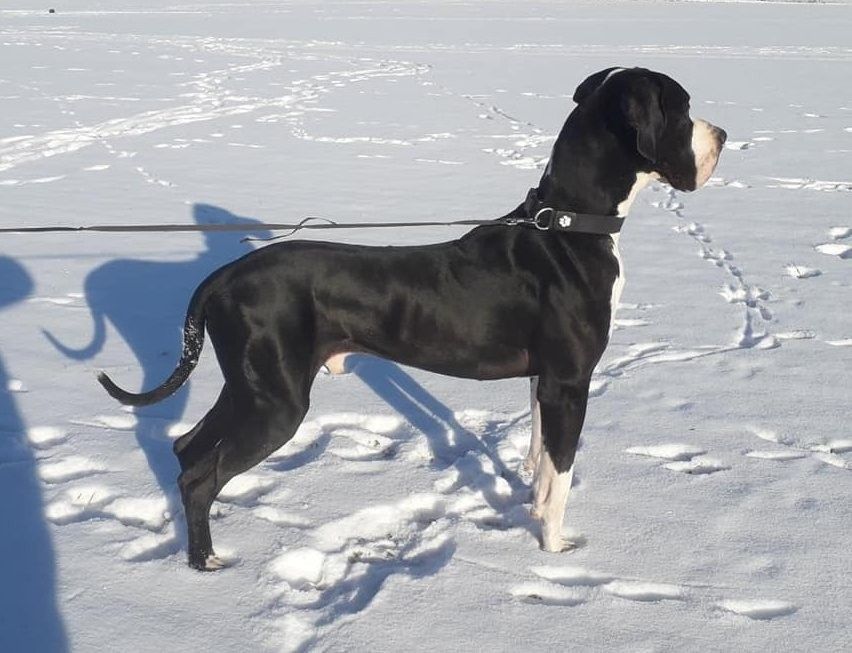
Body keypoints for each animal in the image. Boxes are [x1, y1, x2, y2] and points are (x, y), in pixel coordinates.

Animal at [99, 67, 725, 570]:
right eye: (682, 107)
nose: (722, 135)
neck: (568, 224)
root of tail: (222, 278)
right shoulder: (570, 383)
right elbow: (561, 473)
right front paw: (553, 547)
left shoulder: (544, 379)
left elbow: (540, 456)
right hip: (274, 402)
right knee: (201, 474)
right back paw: (204, 561)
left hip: (250, 388)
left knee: (186, 449)